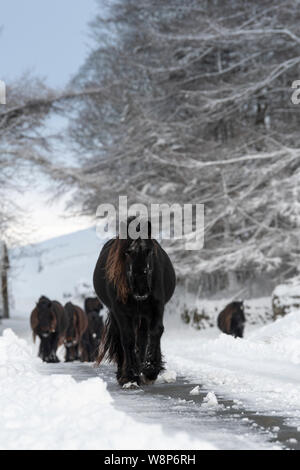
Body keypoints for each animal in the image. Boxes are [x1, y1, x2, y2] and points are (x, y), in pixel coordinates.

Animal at [94, 218, 176, 388]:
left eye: (149, 251)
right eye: (127, 252)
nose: (141, 289)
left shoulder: (157, 307)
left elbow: (156, 331)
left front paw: (151, 370)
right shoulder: (120, 311)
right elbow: (128, 338)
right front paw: (130, 376)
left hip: (143, 315)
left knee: (144, 337)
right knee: (122, 338)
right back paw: (123, 372)